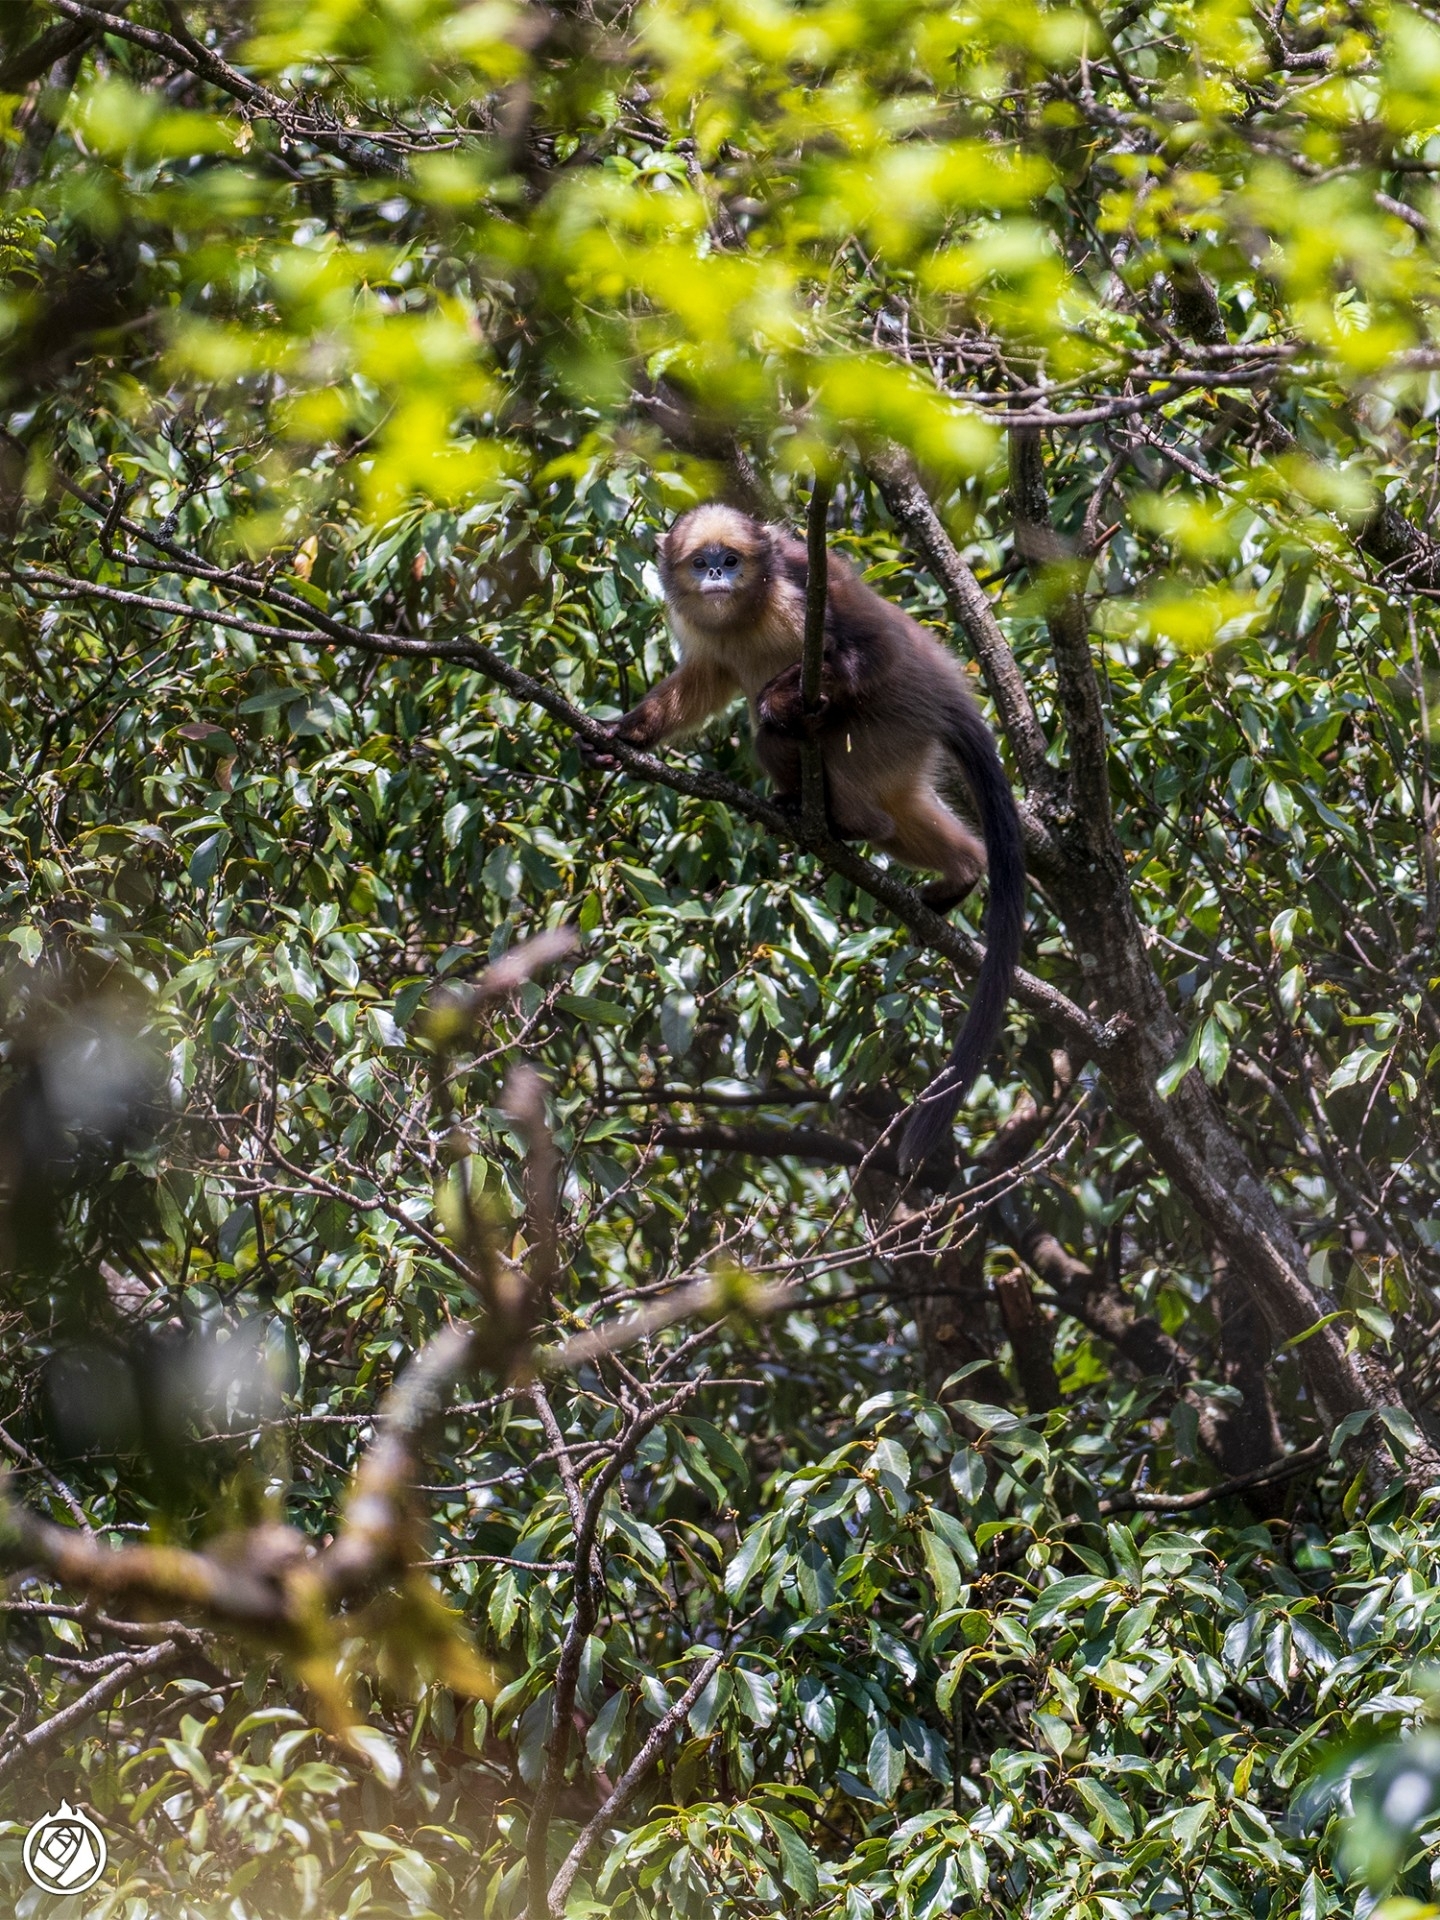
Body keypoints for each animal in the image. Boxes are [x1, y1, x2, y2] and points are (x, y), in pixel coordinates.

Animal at [587, 499, 1029, 1167]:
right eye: (701, 561)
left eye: (731, 560)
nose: (715, 575)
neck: (744, 611)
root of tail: (943, 692)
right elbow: (704, 681)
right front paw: (626, 733)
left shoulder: (804, 577)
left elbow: (864, 647)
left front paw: (780, 696)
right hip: (897, 749)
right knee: (901, 816)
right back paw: (957, 868)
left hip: (885, 716)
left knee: (782, 730)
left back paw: (831, 800)